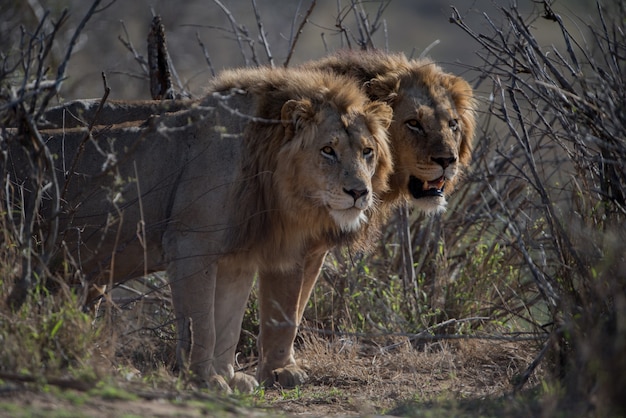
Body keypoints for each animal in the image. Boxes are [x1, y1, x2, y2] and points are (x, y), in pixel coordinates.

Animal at [7, 68, 392, 392]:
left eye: (367, 152)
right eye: (328, 150)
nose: (359, 192)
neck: (266, 171)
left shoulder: (236, 259)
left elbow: (228, 323)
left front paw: (229, 376)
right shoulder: (190, 245)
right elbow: (202, 324)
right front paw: (206, 380)